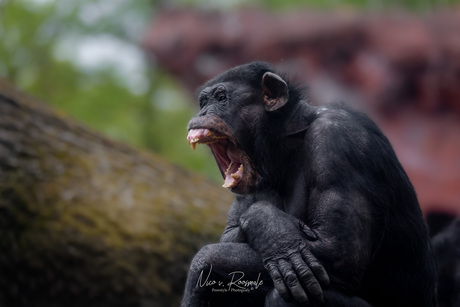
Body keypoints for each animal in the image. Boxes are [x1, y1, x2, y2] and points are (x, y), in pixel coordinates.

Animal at [182, 62, 434, 307]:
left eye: (221, 97)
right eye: (203, 102)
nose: (202, 112)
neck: (289, 141)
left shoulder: (338, 144)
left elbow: (338, 252)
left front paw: (269, 229)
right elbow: (229, 235)